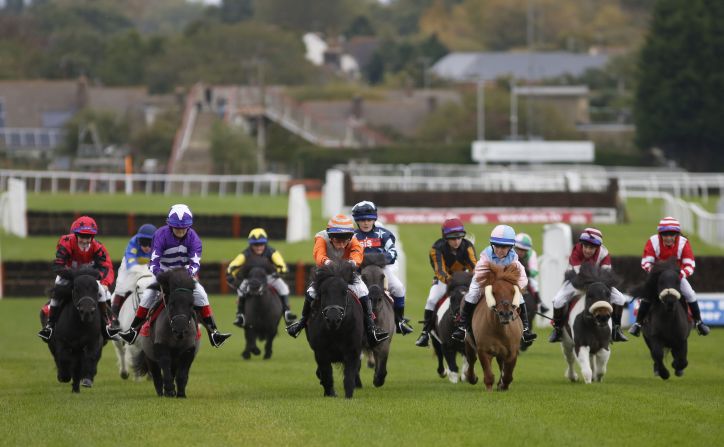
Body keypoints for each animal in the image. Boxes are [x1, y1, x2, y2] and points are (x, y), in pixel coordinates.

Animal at [304, 260, 364, 400]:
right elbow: (327, 375)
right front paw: (330, 394)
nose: (333, 318)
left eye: (344, 291)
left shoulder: (353, 351)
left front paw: (348, 396)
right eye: (324, 292)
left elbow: (349, 377)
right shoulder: (321, 352)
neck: (336, 331)